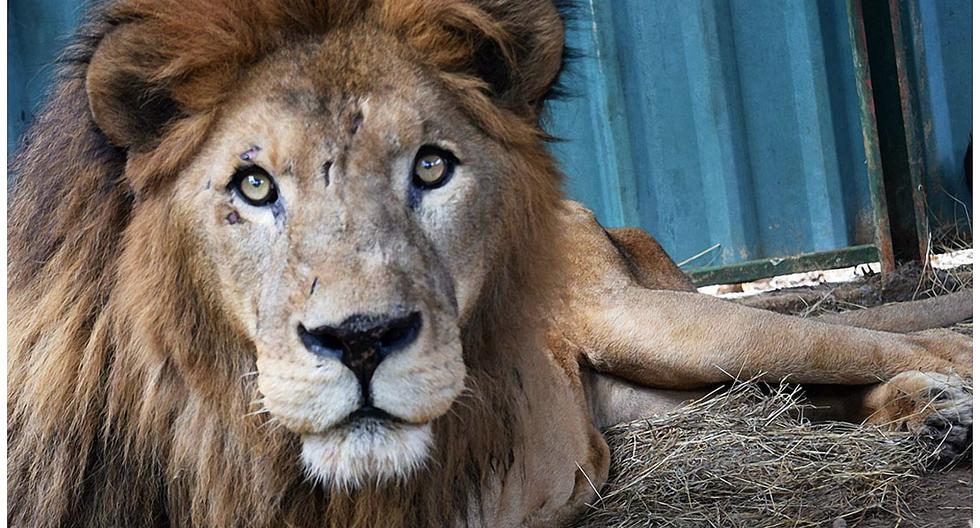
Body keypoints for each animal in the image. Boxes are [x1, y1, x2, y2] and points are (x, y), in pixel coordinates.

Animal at [7, 0, 972, 526]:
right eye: (252, 186)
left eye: (432, 168)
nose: (363, 340)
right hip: (643, 396)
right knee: (792, 400)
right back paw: (925, 418)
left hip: (663, 327)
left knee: (906, 346)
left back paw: (946, 401)